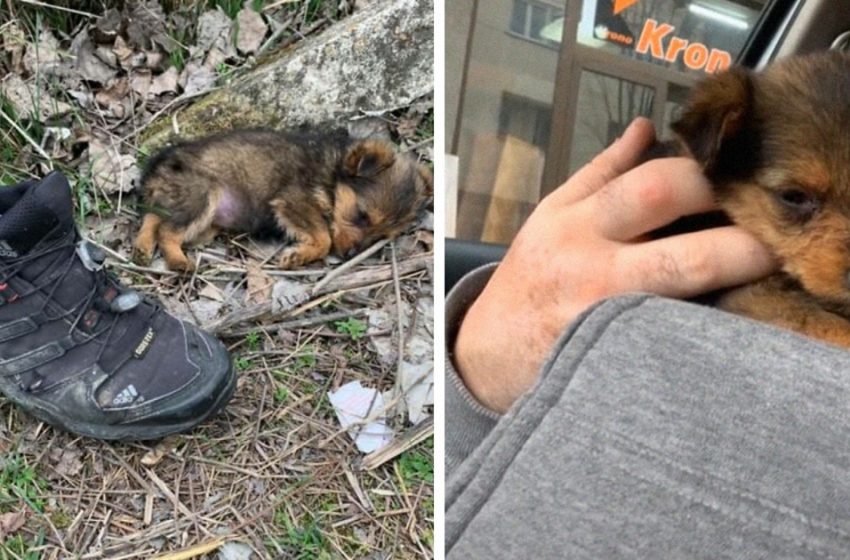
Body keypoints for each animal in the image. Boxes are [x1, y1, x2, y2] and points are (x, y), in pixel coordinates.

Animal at [135, 130, 434, 274]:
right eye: (361, 215)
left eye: (380, 236)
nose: (349, 255)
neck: (331, 174)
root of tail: (157, 167)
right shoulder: (293, 201)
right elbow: (324, 238)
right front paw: (298, 256)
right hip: (202, 196)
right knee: (167, 230)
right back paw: (177, 261)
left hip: (193, 212)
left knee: (154, 216)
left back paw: (142, 246)